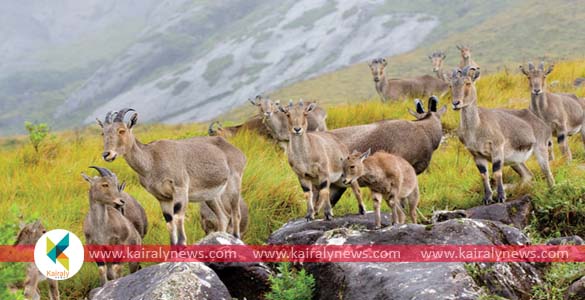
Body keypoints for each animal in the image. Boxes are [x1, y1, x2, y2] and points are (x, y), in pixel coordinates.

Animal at [96, 109, 246, 245]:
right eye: (103, 132)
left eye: (121, 130)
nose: (107, 154)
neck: (152, 160)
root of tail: (238, 152)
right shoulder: (162, 198)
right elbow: (169, 222)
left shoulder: (180, 188)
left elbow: (178, 218)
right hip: (211, 196)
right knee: (224, 217)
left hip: (233, 184)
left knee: (236, 214)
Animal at [450, 67, 556, 205]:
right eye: (451, 85)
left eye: (467, 83)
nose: (456, 103)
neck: (476, 127)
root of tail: (543, 125)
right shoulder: (476, 154)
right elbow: (484, 175)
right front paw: (487, 198)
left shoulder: (497, 147)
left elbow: (497, 172)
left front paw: (501, 197)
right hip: (514, 160)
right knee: (528, 175)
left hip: (540, 148)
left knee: (548, 174)